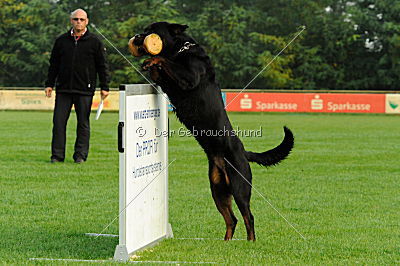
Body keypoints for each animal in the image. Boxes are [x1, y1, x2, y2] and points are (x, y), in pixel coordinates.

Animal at [131, 21, 294, 240]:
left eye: (151, 30)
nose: (137, 36)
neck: (182, 51)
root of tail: (244, 152)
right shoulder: (166, 83)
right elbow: (159, 71)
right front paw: (148, 64)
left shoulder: (189, 78)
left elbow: (164, 60)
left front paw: (153, 59)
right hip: (217, 189)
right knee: (232, 219)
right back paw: (226, 243)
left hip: (239, 186)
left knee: (248, 217)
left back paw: (251, 242)